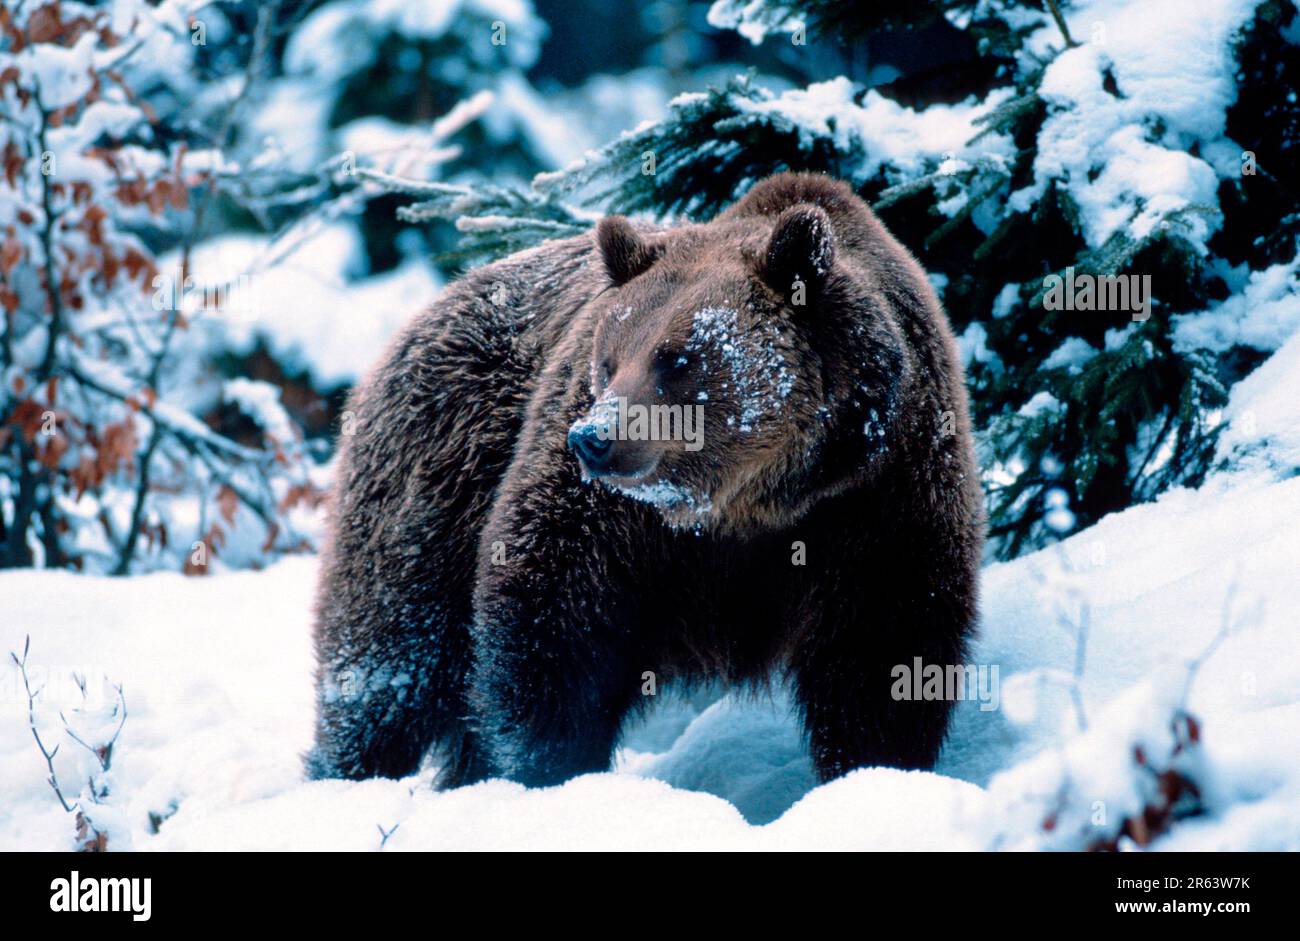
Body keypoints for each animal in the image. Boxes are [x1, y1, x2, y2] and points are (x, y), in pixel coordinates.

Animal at [305, 172, 984, 789]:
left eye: (678, 358)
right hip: (437, 478)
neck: (747, 502)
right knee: (388, 663)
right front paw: (549, 770)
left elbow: (885, 653)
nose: (595, 437)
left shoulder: (877, 498)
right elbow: (551, 623)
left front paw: (873, 773)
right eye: (608, 360)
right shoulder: (607, 518)